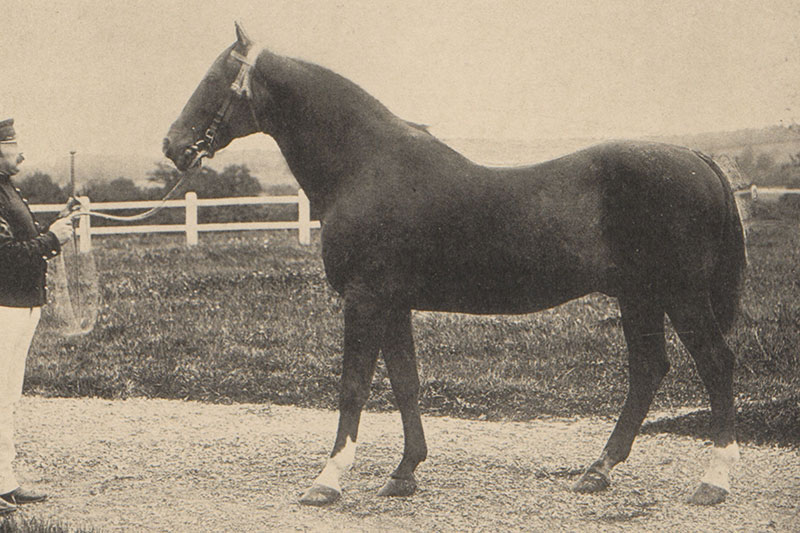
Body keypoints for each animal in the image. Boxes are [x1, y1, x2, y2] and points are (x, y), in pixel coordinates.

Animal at [163, 23, 746, 507]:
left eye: (215, 80)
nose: (172, 146)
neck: (366, 166)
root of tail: (699, 160)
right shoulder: (393, 303)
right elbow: (405, 382)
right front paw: (404, 473)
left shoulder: (365, 298)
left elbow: (354, 386)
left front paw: (327, 481)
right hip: (638, 296)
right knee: (648, 369)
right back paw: (598, 470)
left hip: (680, 295)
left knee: (716, 365)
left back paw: (713, 481)